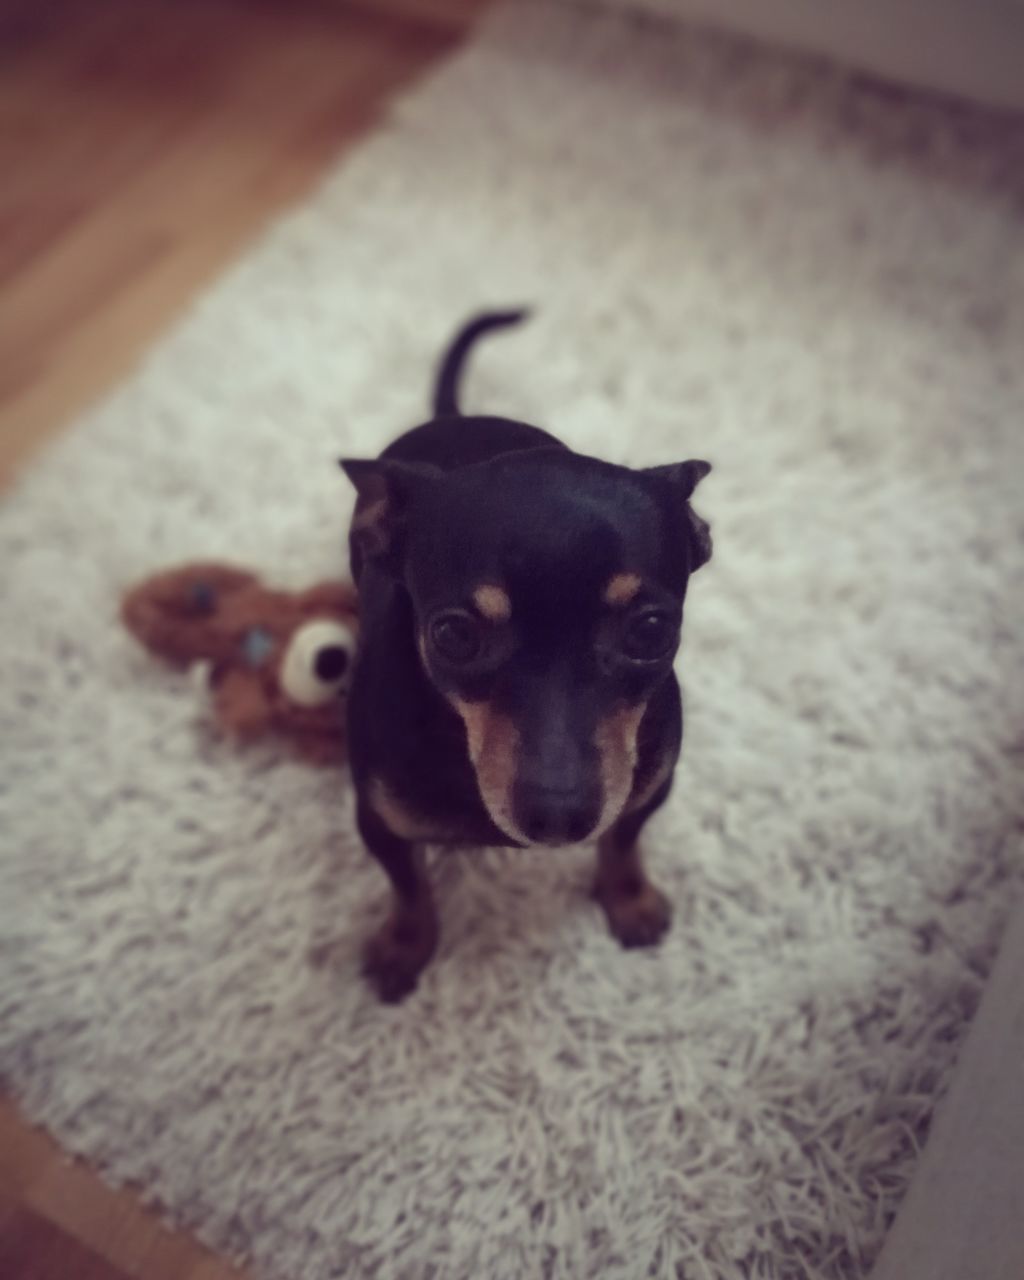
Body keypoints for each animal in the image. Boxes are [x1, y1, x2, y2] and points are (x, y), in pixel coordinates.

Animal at [340, 309, 706, 998]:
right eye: (453, 636)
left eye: (651, 631)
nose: (560, 818)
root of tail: (459, 415)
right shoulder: (378, 821)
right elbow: (409, 887)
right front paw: (404, 948)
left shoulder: (647, 789)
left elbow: (623, 843)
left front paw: (632, 902)